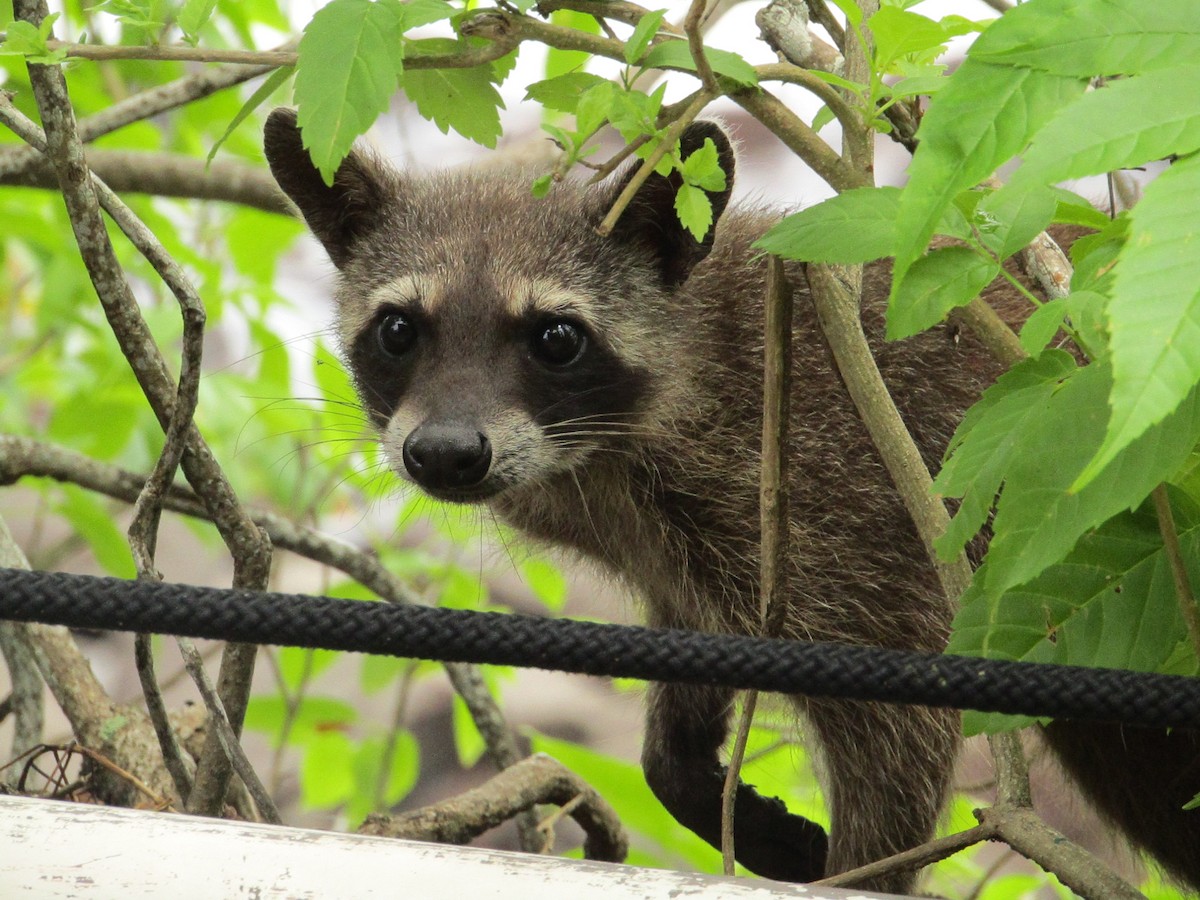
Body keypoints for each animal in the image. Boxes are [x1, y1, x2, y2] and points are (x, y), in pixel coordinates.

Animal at [263, 107, 1200, 893]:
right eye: (398, 330)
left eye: (556, 338)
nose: (448, 454)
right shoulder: (684, 549)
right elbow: (695, 657)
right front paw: (689, 774)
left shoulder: (840, 495)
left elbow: (900, 721)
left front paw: (862, 872)